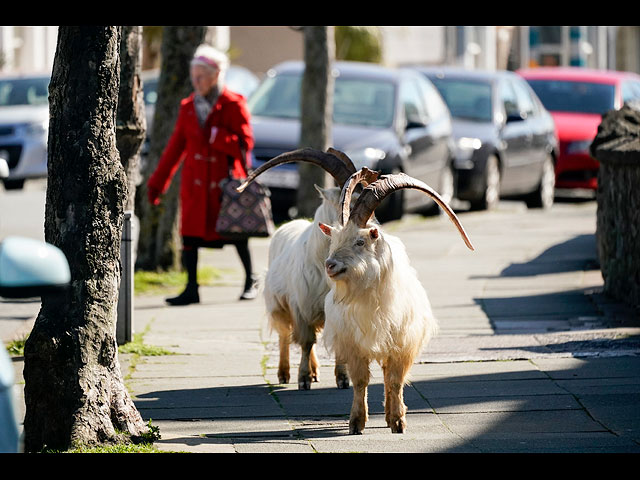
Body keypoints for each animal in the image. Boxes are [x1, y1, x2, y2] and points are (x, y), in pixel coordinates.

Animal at [235, 147, 378, 390]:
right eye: (349, 205)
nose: (373, 233)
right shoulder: (300, 304)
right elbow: (306, 341)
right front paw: (303, 379)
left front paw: (342, 378)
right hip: (278, 304)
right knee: (286, 335)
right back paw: (285, 373)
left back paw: (315, 371)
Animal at [318, 170, 472, 436]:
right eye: (334, 240)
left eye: (360, 242)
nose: (330, 265)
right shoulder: (354, 345)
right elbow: (361, 381)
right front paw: (356, 422)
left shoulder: (403, 342)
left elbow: (396, 380)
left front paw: (399, 421)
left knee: (389, 375)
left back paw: (390, 415)